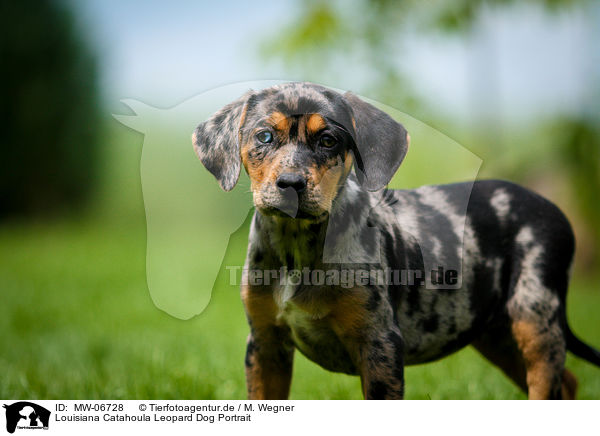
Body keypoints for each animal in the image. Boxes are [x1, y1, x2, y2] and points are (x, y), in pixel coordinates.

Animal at [193, 81, 600, 398]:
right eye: (264, 136)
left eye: (328, 140)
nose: (291, 184)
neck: (297, 246)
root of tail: (552, 207)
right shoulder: (265, 344)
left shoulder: (380, 344)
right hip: (495, 333)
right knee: (567, 383)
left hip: (534, 315)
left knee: (548, 382)